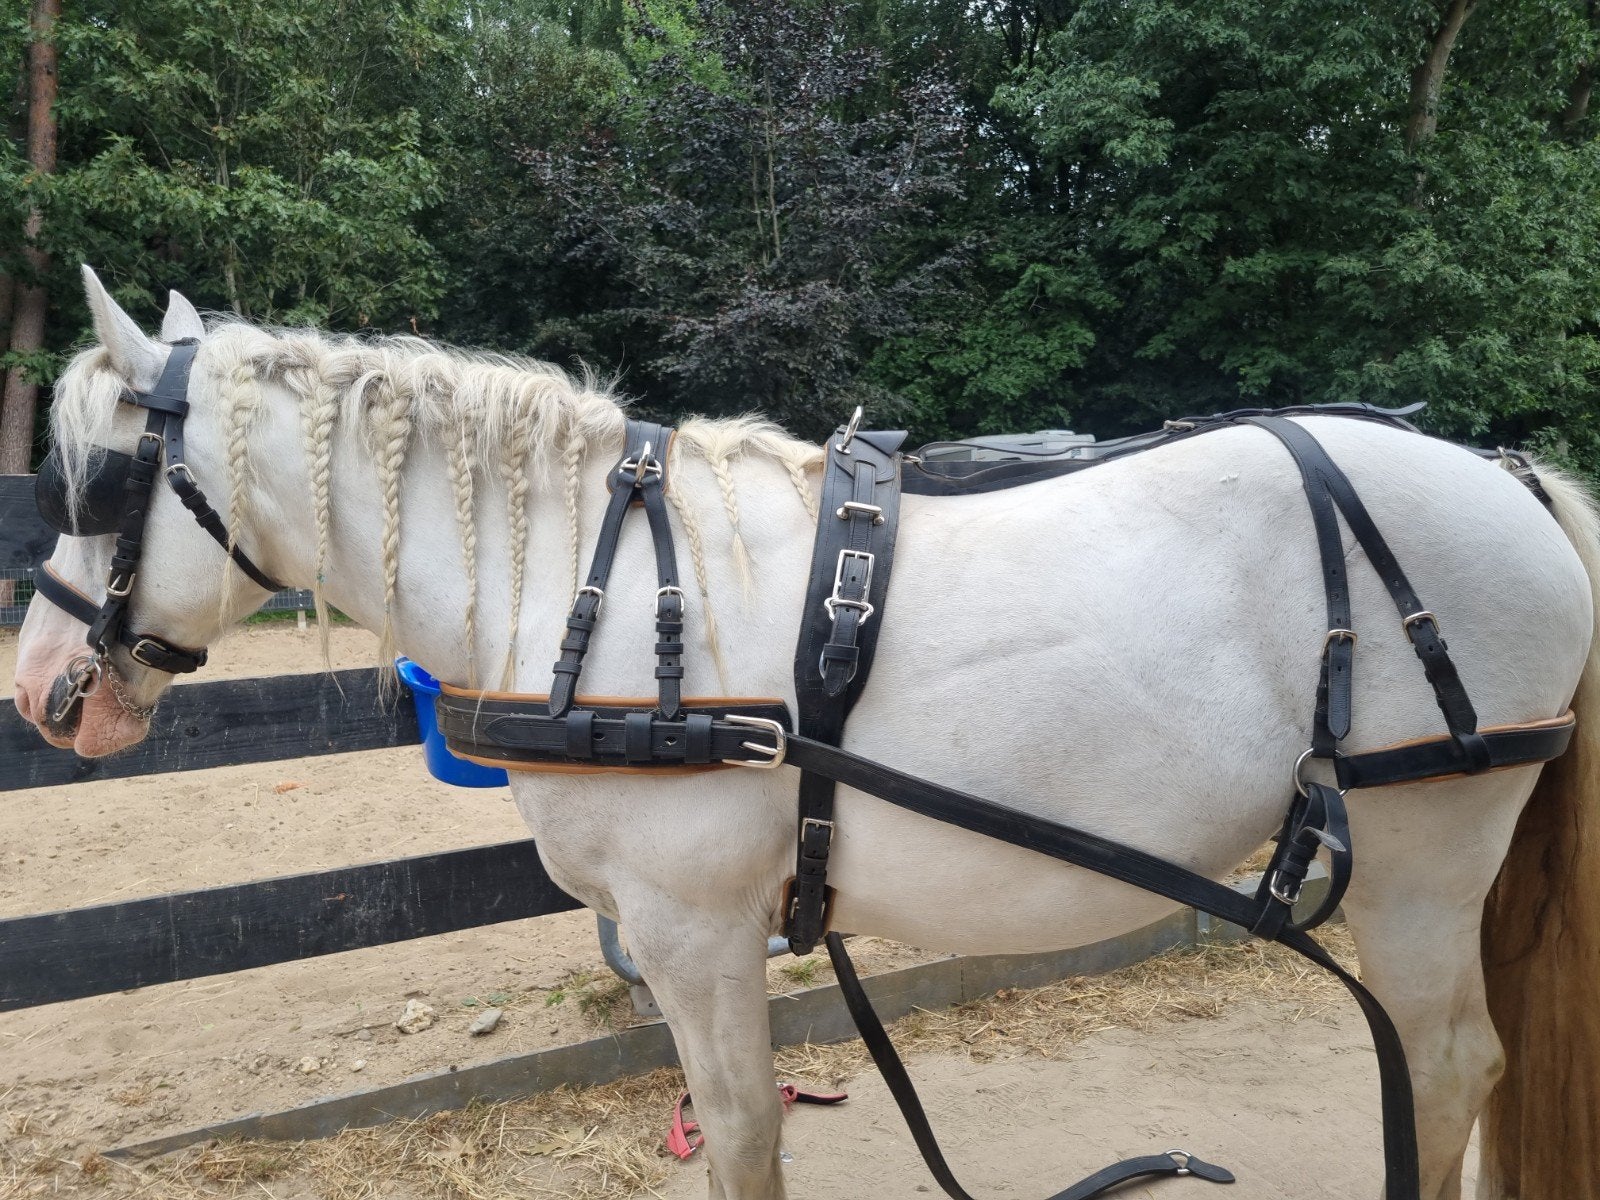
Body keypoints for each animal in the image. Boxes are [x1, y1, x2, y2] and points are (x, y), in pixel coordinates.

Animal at [11, 267, 1600, 1200]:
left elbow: (742, 1132)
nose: (42, 694)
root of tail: (1510, 475)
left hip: (1421, 864)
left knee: (1444, 1066)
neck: (587, 580)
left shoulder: (696, 928)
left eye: (95, 484)